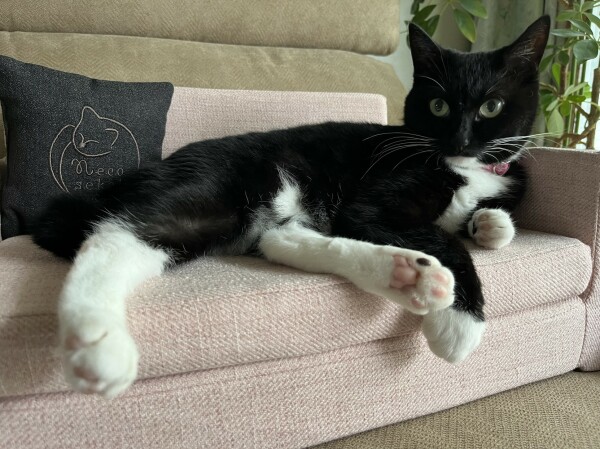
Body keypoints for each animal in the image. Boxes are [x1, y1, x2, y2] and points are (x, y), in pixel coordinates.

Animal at [32, 16, 548, 396]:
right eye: (439, 106)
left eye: (492, 107)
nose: (460, 141)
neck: (463, 167)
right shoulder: (372, 204)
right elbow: (441, 237)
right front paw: (463, 322)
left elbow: (473, 221)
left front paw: (490, 224)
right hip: (215, 197)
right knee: (116, 234)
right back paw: (96, 341)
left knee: (283, 240)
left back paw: (407, 274)